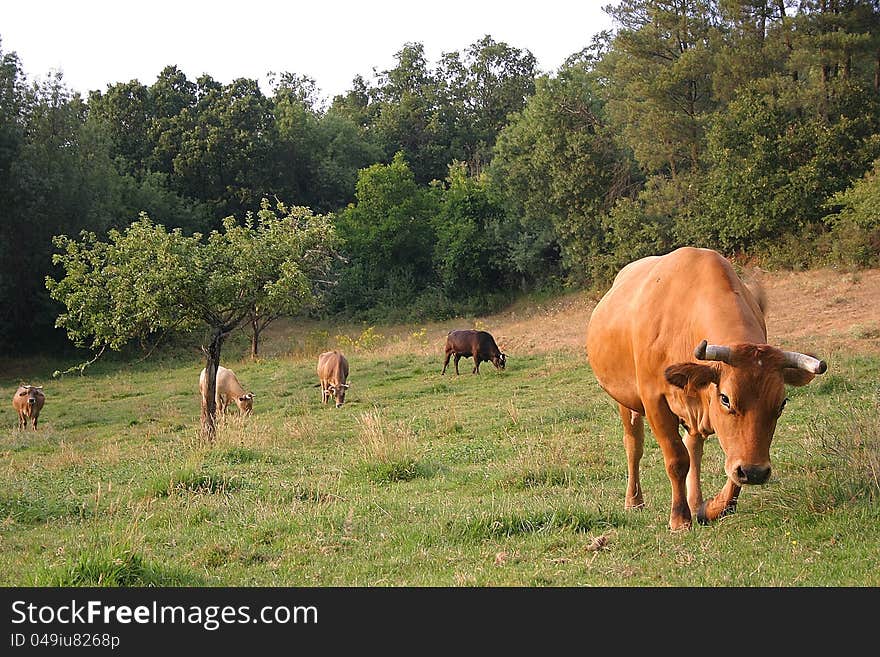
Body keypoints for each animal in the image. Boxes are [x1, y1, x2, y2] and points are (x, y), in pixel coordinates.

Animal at [584, 245, 824, 528]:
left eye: (782, 403)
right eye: (726, 398)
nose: (755, 472)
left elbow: (730, 465)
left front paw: (710, 508)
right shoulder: (654, 400)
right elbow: (676, 459)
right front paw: (679, 518)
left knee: (693, 446)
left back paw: (694, 500)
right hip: (625, 402)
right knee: (634, 445)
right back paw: (634, 500)